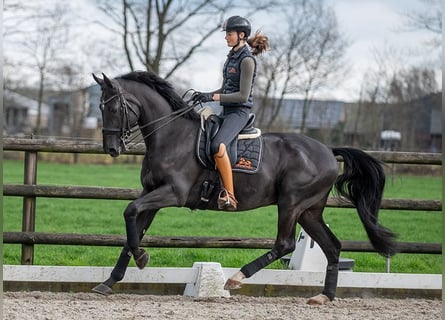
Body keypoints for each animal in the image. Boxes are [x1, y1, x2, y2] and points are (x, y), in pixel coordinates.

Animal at [91, 71, 396, 304]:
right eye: (101, 108)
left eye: (114, 108)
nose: (112, 149)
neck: (171, 136)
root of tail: (328, 151)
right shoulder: (151, 194)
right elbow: (133, 229)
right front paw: (111, 279)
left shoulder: (172, 194)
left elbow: (130, 212)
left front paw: (142, 258)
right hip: (310, 211)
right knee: (332, 247)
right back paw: (324, 296)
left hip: (291, 203)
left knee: (285, 243)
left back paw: (236, 278)